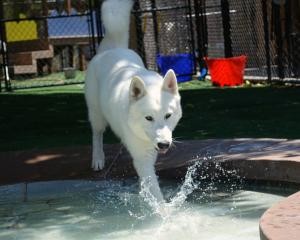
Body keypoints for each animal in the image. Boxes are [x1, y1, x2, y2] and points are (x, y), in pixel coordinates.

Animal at [85, 0, 183, 202]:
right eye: (148, 118)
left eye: (168, 116)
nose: (164, 145)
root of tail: (112, 49)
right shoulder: (143, 157)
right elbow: (156, 192)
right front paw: (164, 210)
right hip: (97, 115)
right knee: (96, 134)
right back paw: (98, 159)